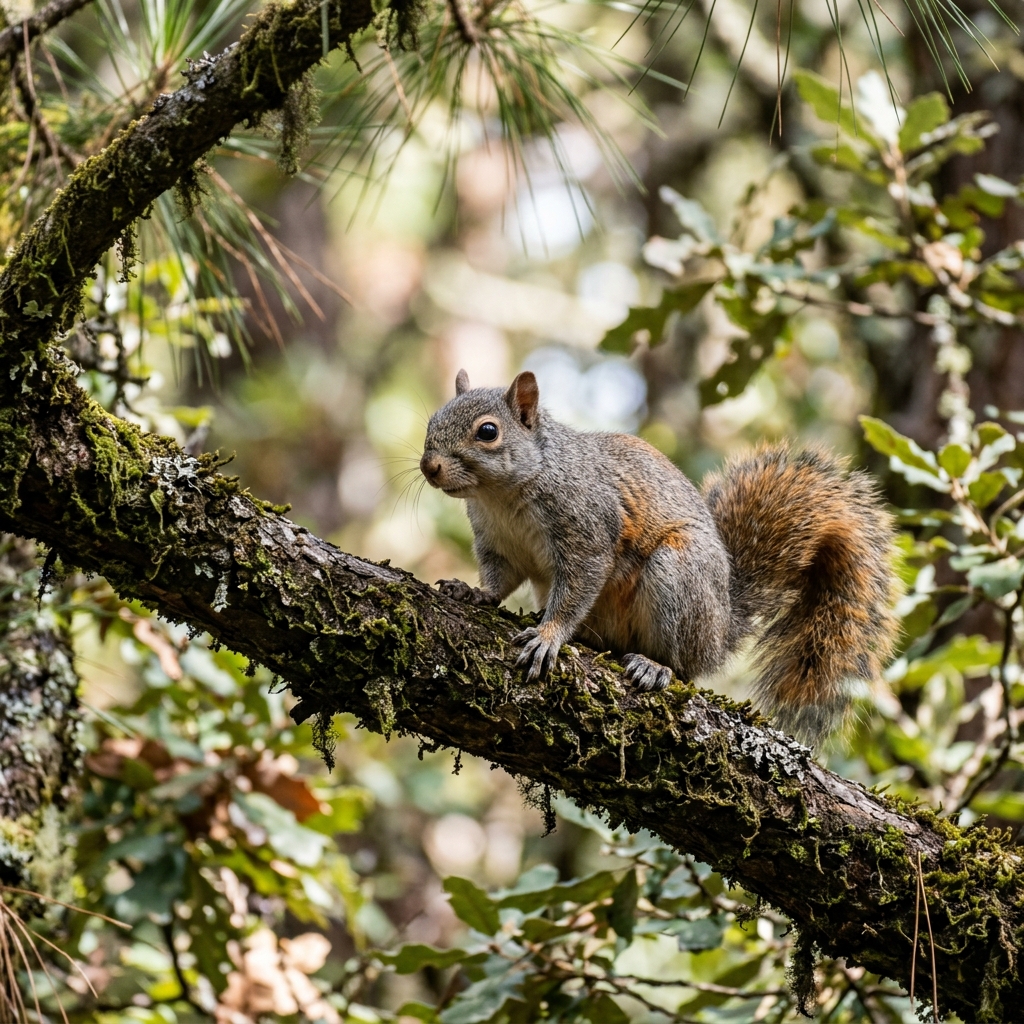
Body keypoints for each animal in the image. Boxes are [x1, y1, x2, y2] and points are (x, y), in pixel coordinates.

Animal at [419, 369, 899, 744]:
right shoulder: (497, 544)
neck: (500, 496)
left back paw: (656, 666)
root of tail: (721, 629)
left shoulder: (589, 529)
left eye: (488, 431)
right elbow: (499, 580)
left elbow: (577, 587)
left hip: (677, 576)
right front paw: (473, 593)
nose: (430, 467)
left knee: (686, 666)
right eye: (432, 422)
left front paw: (548, 636)